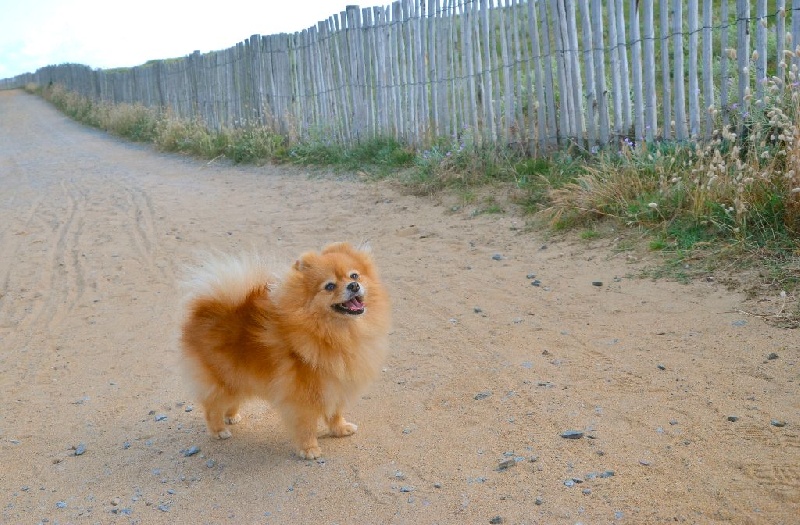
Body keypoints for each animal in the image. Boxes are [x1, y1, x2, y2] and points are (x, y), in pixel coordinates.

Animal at [184, 244, 390, 456]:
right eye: (330, 286)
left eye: (354, 275)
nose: (354, 286)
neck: (335, 332)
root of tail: (205, 307)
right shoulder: (304, 395)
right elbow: (307, 425)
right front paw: (309, 448)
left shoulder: (335, 384)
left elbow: (335, 412)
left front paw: (340, 429)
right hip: (224, 379)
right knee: (212, 405)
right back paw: (218, 430)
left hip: (238, 377)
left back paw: (231, 416)